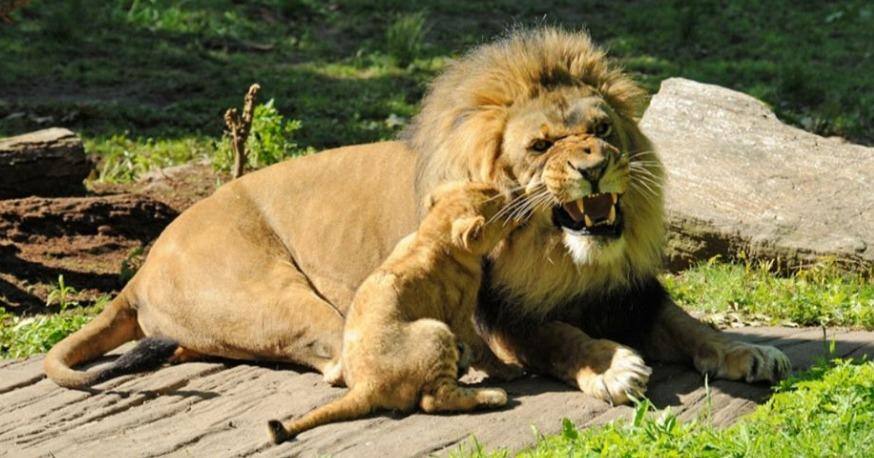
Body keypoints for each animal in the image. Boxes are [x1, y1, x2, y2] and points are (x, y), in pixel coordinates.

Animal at [46, 27, 792, 404]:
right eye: (542, 146)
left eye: (601, 129)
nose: (593, 167)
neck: (563, 255)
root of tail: (142, 268)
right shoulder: (503, 320)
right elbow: (558, 337)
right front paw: (609, 366)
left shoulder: (629, 291)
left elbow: (688, 324)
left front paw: (748, 350)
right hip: (280, 294)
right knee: (343, 364)